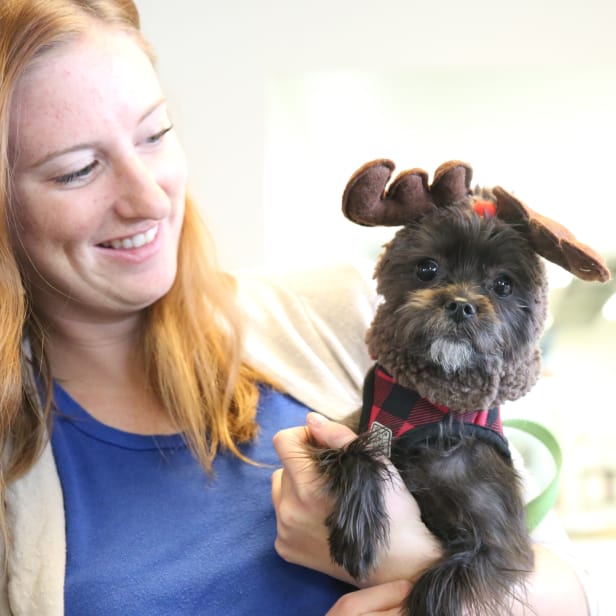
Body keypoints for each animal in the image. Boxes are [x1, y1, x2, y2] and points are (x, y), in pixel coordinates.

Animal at [310, 160, 608, 616]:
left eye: (503, 285)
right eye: (427, 268)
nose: (461, 305)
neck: (436, 412)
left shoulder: (500, 546)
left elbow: (437, 589)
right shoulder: (346, 429)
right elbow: (356, 449)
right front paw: (356, 532)